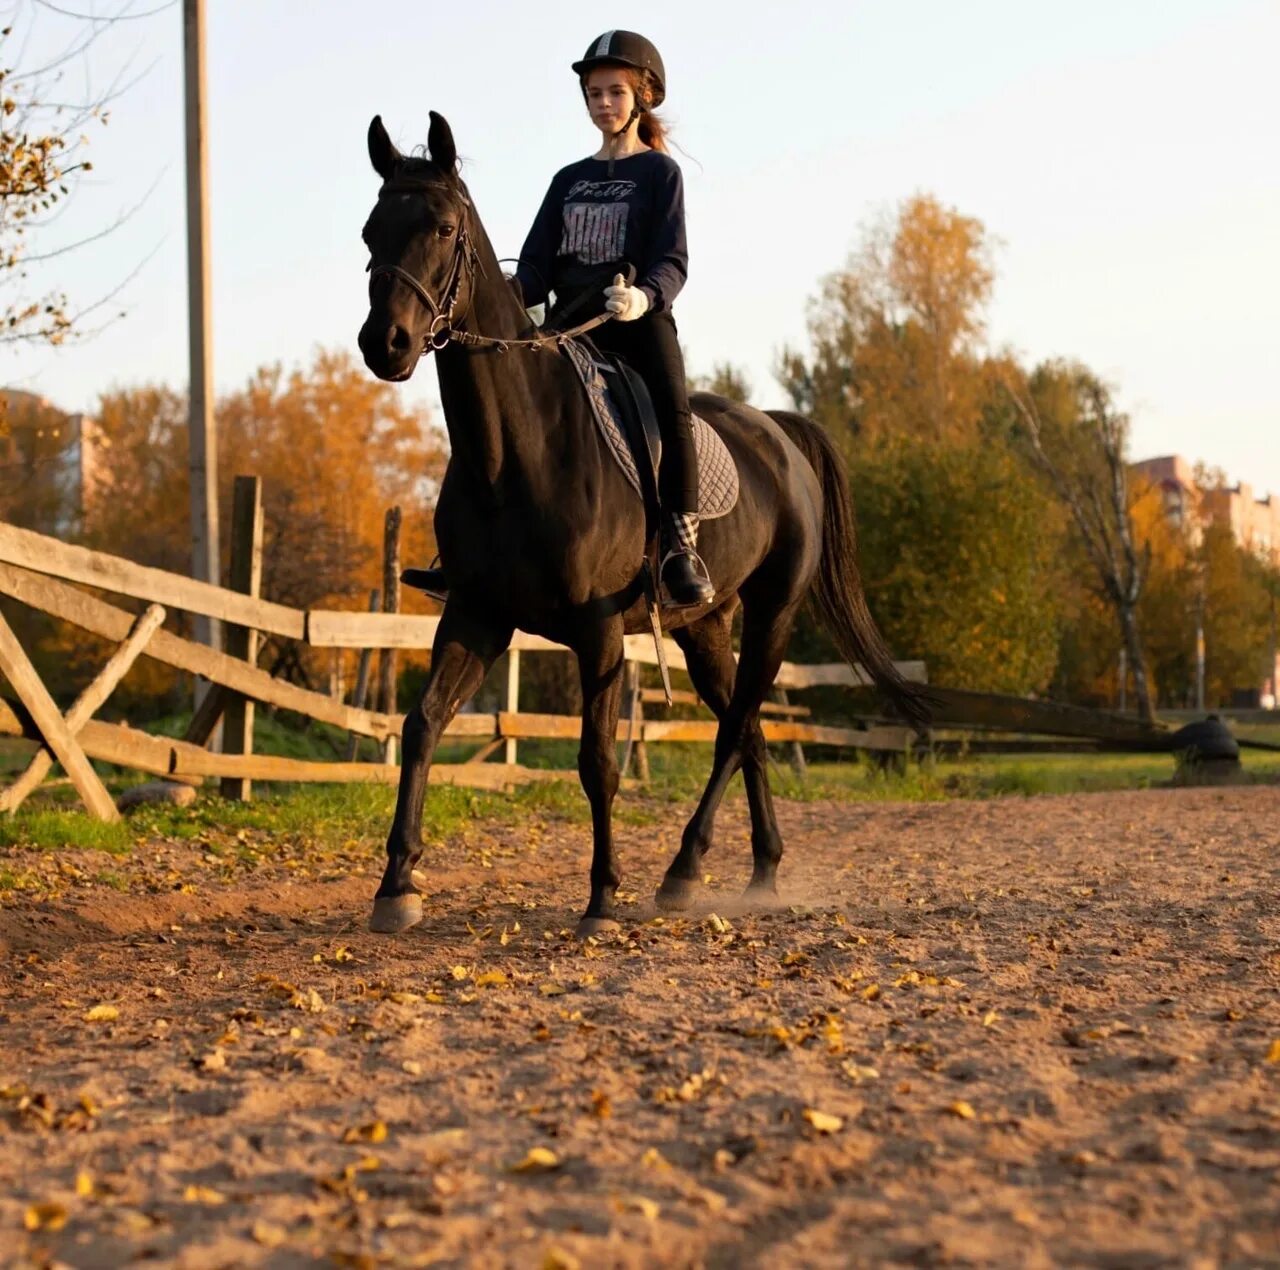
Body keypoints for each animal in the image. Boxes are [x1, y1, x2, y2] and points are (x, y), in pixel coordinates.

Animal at [355, 116, 926, 932]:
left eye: (441, 227)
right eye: (371, 230)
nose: (386, 344)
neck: (517, 452)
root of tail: (779, 433)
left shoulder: (598, 635)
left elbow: (597, 761)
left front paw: (602, 895)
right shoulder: (475, 613)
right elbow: (422, 723)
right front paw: (397, 885)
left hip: (774, 613)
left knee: (735, 729)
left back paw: (683, 871)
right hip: (704, 627)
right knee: (749, 730)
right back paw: (762, 869)